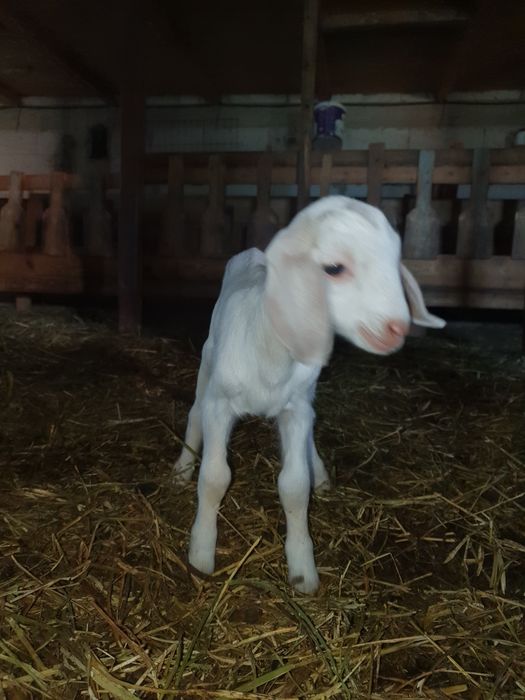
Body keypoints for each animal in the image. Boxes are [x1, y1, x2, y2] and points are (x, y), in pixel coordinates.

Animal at [174, 195, 445, 594]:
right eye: (334, 267)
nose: (397, 328)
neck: (269, 349)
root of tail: (253, 253)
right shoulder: (220, 405)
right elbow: (214, 477)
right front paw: (200, 556)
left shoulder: (297, 408)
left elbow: (295, 486)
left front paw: (303, 571)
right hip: (208, 362)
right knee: (194, 411)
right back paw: (182, 467)